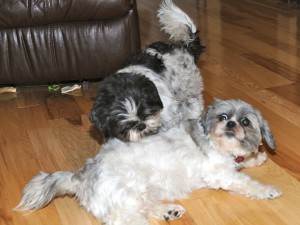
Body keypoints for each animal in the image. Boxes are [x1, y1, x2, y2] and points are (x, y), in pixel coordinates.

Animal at [14, 100, 282, 225]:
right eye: (223, 117)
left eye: (245, 122)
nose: (231, 124)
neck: (222, 147)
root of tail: (80, 176)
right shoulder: (220, 174)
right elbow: (247, 182)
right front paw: (268, 189)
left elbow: (243, 163)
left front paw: (256, 157)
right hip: (128, 190)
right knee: (125, 218)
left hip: (140, 192)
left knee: (144, 207)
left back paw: (168, 211)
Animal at [89, 0, 206, 141]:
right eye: (125, 126)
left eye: (146, 113)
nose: (141, 126)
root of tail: (184, 48)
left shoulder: (169, 108)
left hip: (187, 89)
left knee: (194, 103)